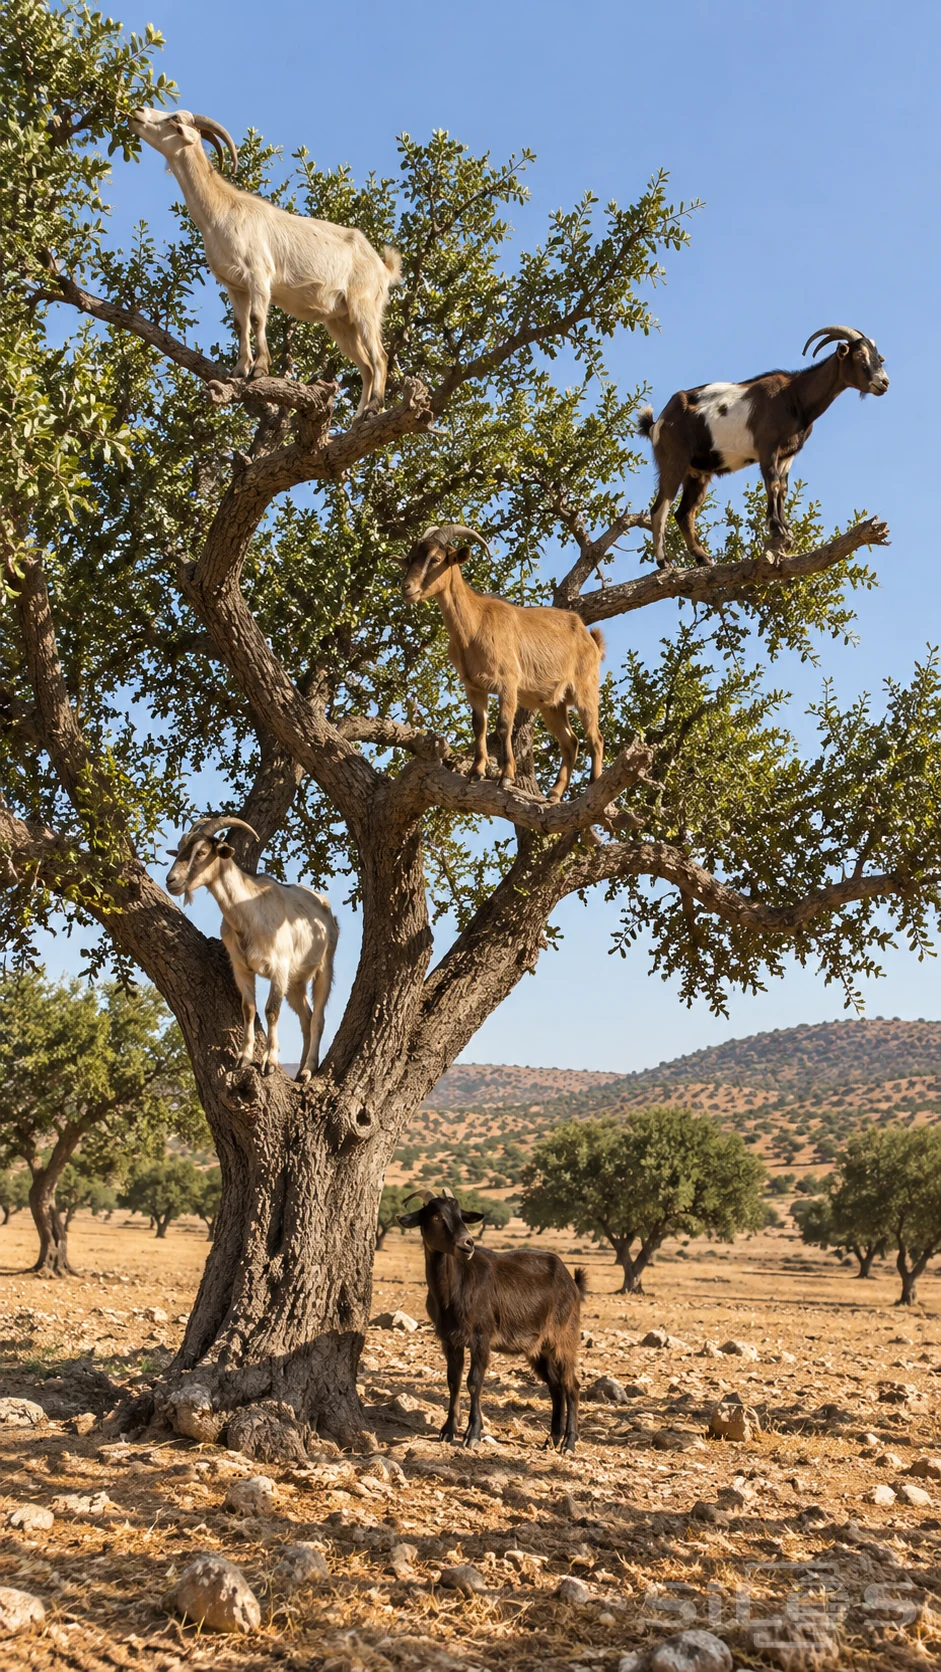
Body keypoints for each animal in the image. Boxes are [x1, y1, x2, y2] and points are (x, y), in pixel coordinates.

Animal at [128, 107, 402, 416]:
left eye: (174, 120)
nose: (138, 111)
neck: (222, 212)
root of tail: (383, 268)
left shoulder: (258, 275)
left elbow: (257, 318)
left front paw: (259, 370)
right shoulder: (234, 285)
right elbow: (240, 324)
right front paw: (238, 370)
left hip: (364, 305)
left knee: (379, 357)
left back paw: (374, 408)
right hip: (340, 320)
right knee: (365, 365)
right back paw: (358, 419)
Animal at [165, 815, 338, 1081]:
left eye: (202, 852)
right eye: (180, 849)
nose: (171, 881)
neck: (248, 913)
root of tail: (324, 906)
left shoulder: (279, 968)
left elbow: (271, 1011)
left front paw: (270, 1062)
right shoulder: (242, 968)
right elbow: (248, 1009)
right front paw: (244, 1058)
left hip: (323, 967)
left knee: (318, 1018)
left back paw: (308, 1070)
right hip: (295, 982)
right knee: (306, 1018)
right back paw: (300, 1068)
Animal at [397, 523, 605, 801]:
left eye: (437, 559)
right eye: (411, 558)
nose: (407, 588)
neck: (474, 626)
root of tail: (590, 638)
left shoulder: (508, 683)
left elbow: (504, 726)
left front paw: (506, 776)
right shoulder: (473, 687)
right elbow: (479, 726)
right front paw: (476, 772)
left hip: (585, 690)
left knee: (595, 738)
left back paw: (594, 785)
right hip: (553, 704)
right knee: (570, 742)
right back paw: (554, 794)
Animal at [397, 1187, 586, 1452]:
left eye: (461, 1215)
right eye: (436, 1216)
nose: (468, 1243)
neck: (453, 1290)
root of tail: (572, 1282)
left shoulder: (481, 1337)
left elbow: (474, 1381)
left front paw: (473, 1434)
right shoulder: (450, 1339)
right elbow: (453, 1380)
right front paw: (447, 1430)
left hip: (564, 1338)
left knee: (572, 1386)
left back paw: (569, 1442)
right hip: (539, 1349)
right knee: (556, 1386)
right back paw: (552, 1439)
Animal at [638, 325, 889, 568]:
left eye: (879, 357)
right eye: (859, 354)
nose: (884, 382)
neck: (795, 396)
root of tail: (658, 422)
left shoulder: (787, 455)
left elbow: (783, 488)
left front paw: (785, 530)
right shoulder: (768, 448)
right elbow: (773, 484)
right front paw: (776, 527)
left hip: (698, 472)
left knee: (684, 514)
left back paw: (703, 558)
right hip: (674, 460)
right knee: (660, 508)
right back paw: (664, 562)